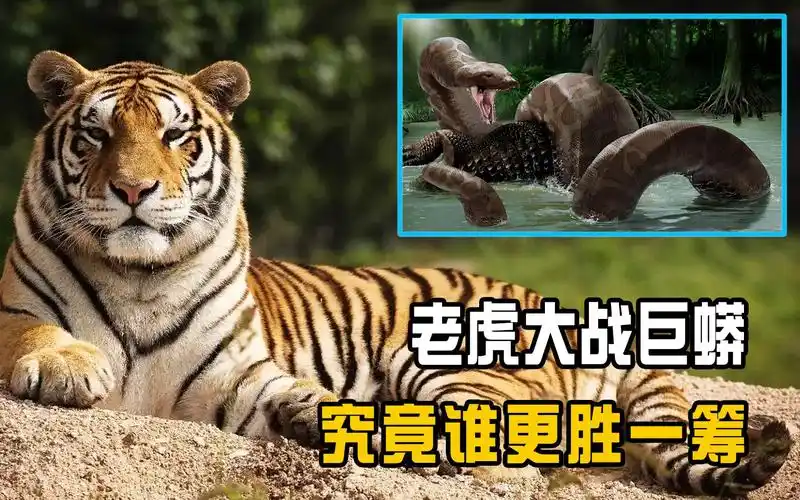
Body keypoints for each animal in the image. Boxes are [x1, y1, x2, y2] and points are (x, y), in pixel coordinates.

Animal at [0, 50, 791, 498]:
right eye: (97, 133)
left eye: (176, 135)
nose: (134, 191)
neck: (141, 276)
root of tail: (564, 306)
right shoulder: (15, 313)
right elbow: (32, 333)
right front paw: (72, 369)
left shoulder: (239, 374)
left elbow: (283, 392)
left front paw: (312, 415)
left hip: (450, 364)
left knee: (500, 460)